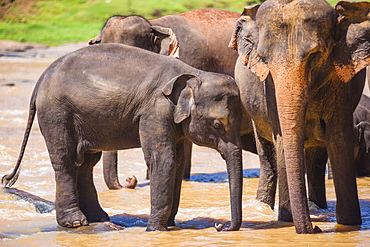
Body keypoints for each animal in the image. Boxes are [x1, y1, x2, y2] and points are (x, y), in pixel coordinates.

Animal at [3, 44, 246, 232]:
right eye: (217, 124)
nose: (220, 226)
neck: (194, 73)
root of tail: (41, 79)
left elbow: (176, 163)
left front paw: (169, 226)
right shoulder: (154, 111)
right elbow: (163, 160)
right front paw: (156, 230)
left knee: (86, 163)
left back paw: (98, 218)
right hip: (56, 113)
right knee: (66, 161)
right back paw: (75, 223)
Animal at [230, 0, 370, 233]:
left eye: (315, 55)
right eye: (264, 59)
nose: (317, 229)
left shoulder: (342, 82)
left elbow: (339, 139)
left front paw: (350, 224)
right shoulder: (270, 87)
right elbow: (281, 140)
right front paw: (286, 220)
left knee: (316, 158)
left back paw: (317, 207)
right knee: (267, 156)